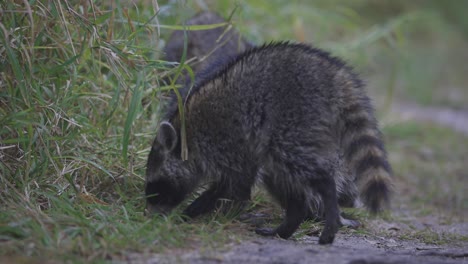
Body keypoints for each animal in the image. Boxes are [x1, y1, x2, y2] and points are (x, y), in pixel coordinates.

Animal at [144, 42, 394, 244]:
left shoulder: (226, 142)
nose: (150, 212)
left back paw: (327, 205)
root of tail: (333, 74)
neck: (187, 136)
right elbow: (240, 182)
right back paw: (290, 221)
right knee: (281, 175)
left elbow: (234, 184)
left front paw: (193, 211)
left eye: (155, 184)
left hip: (292, 118)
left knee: (304, 167)